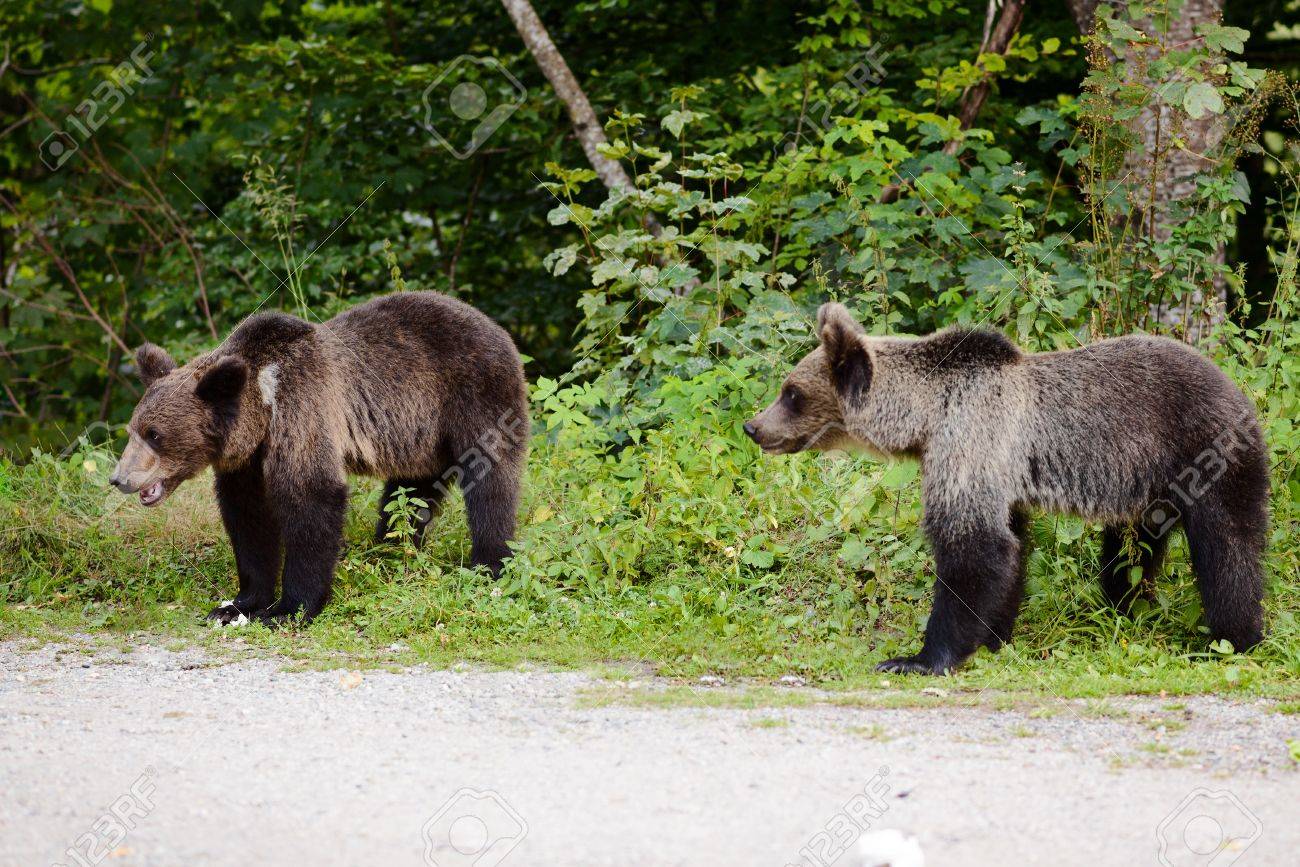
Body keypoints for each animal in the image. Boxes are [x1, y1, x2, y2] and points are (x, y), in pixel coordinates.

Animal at [107, 291, 527, 623]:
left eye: (155, 435)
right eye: (133, 429)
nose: (120, 478)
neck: (263, 408)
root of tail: (495, 326)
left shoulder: (303, 408)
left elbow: (311, 500)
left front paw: (288, 608)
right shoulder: (246, 462)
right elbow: (249, 520)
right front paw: (235, 605)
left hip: (475, 393)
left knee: (491, 481)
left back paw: (488, 563)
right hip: (418, 435)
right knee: (409, 495)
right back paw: (388, 550)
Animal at [748, 305, 1263, 675]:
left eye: (791, 393)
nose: (754, 426)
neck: (926, 416)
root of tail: (1239, 391)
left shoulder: (971, 440)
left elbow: (974, 549)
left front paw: (917, 658)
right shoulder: (1000, 477)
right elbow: (1010, 548)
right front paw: (995, 636)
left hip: (1204, 452)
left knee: (1229, 548)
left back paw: (1232, 640)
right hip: (1148, 487)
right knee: (1131, 553)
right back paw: (1123, 606)